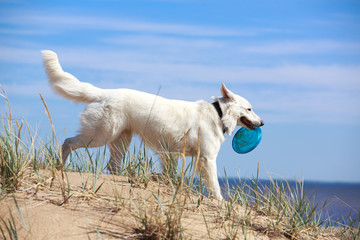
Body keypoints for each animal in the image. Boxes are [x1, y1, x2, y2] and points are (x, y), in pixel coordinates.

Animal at [41, 49, 264, 200]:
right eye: (249, 109)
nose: (262, 122)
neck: (218, 114)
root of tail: (104, 92)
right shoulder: (207, 159)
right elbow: (215, 187)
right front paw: (220, 202)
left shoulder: (172, 154)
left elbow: (171, 174)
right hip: (100, 135)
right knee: (68, 142)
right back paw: (60, 166)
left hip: (119, 141)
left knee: (112, 165)